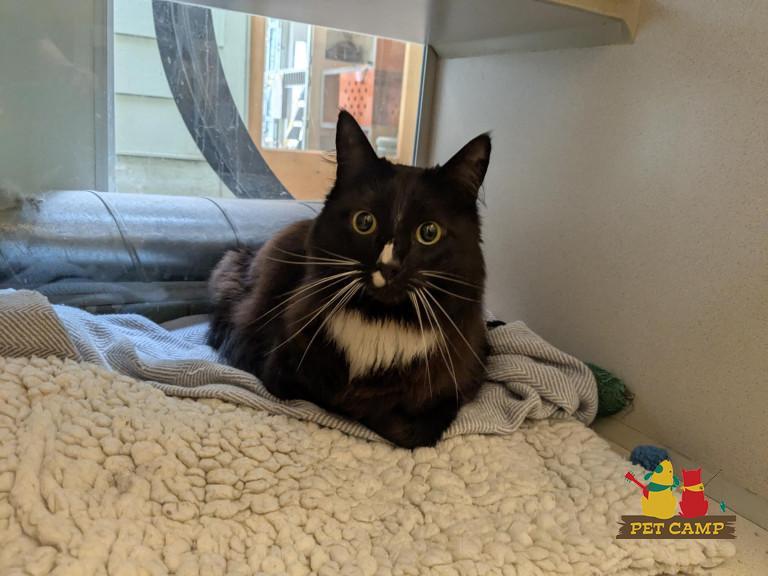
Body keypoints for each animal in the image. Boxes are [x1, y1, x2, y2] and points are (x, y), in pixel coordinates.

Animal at [208, 110, 491, 448]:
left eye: (429, 232)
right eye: (364, 222)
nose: (388, 267)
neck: (381, 317)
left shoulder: (456, 389)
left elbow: (408, 429)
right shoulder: (279, 365)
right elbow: (329, 396)